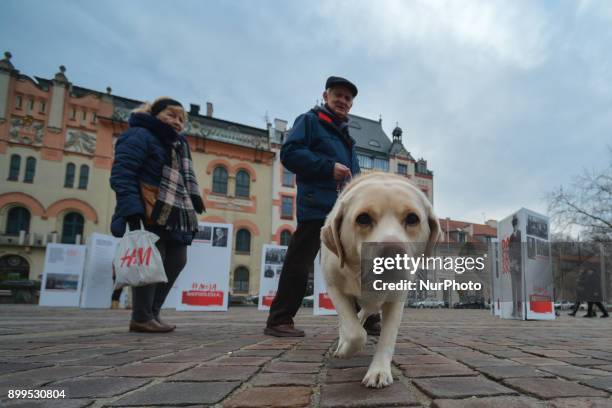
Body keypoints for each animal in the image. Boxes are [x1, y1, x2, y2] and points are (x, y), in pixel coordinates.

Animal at [320, 172, 440, 388]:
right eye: (363, 218)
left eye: (412, 218)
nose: (392, 252)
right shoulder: (334, 287)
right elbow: (355, 333)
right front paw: (345, 350)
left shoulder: (397, 299)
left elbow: (387, 338)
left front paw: (379, 371)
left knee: (364, 312)